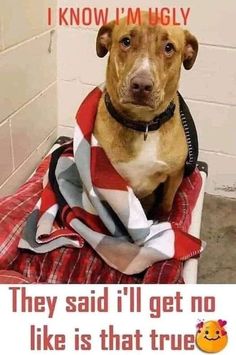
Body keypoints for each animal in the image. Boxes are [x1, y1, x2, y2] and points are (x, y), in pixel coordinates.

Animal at [93, 13, 197, 214]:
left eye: (168, 47)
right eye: (126, 41)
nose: (141, 85)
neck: (143, 125)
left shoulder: (175, 175)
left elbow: (166, 205)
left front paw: (161, 217)